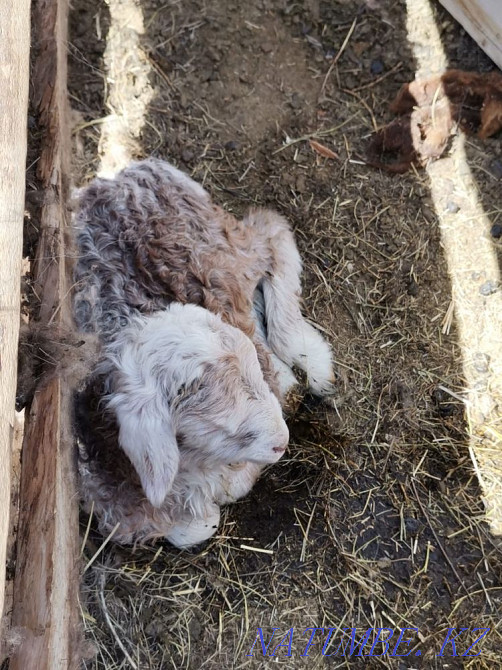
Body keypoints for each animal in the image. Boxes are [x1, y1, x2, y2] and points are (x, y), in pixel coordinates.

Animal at [73, 158, 334, 547]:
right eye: (219, 427)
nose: (282, 443)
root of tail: (117, 176)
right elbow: (197, 525)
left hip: (218, 247)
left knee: (271, 229)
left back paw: (310, 359)